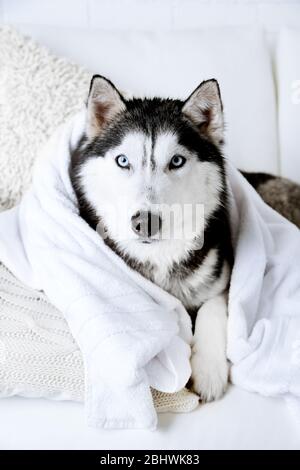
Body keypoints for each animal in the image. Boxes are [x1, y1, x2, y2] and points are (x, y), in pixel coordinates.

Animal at [71, 75, 233, 402]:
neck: (159, 257)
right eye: (123, 161)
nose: (145, 222)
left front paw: (209, 369)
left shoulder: (223, 279)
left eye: (177, 161)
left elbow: (212, 308)